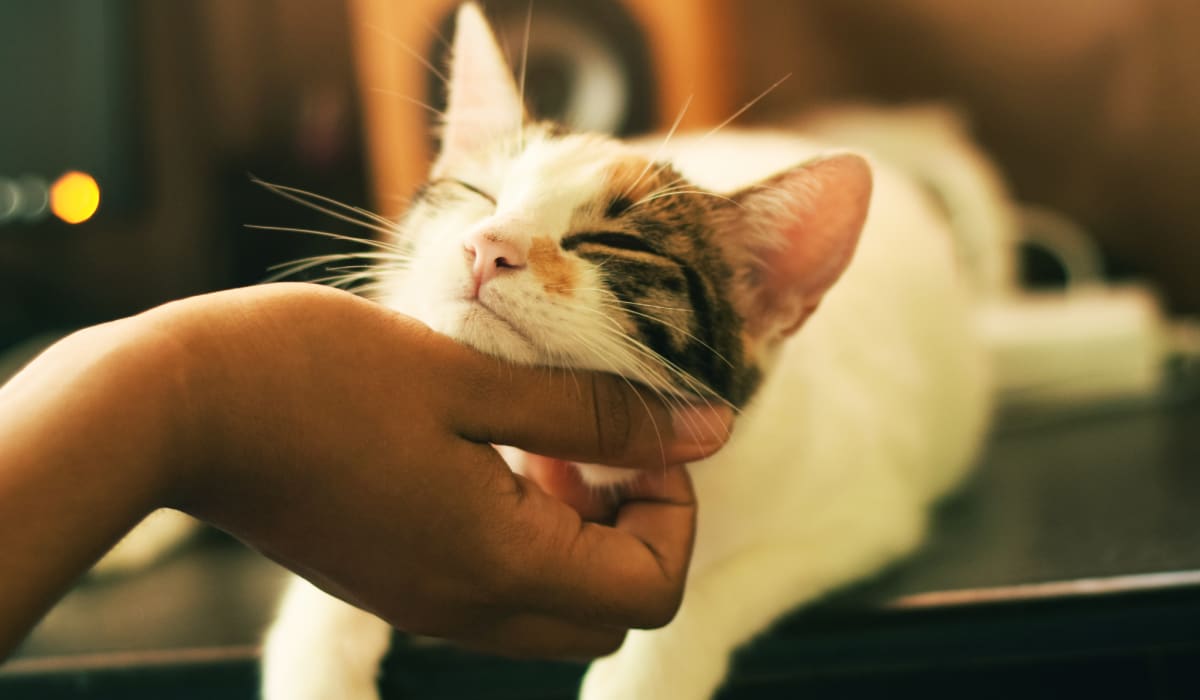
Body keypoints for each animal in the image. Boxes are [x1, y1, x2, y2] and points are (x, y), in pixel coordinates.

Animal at [262, 5, 993, 700]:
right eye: (478, 195)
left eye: (613, 243)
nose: (487, 244)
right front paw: (315, 665)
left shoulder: (861, 517)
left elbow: (707, 592)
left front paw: (643, 676)